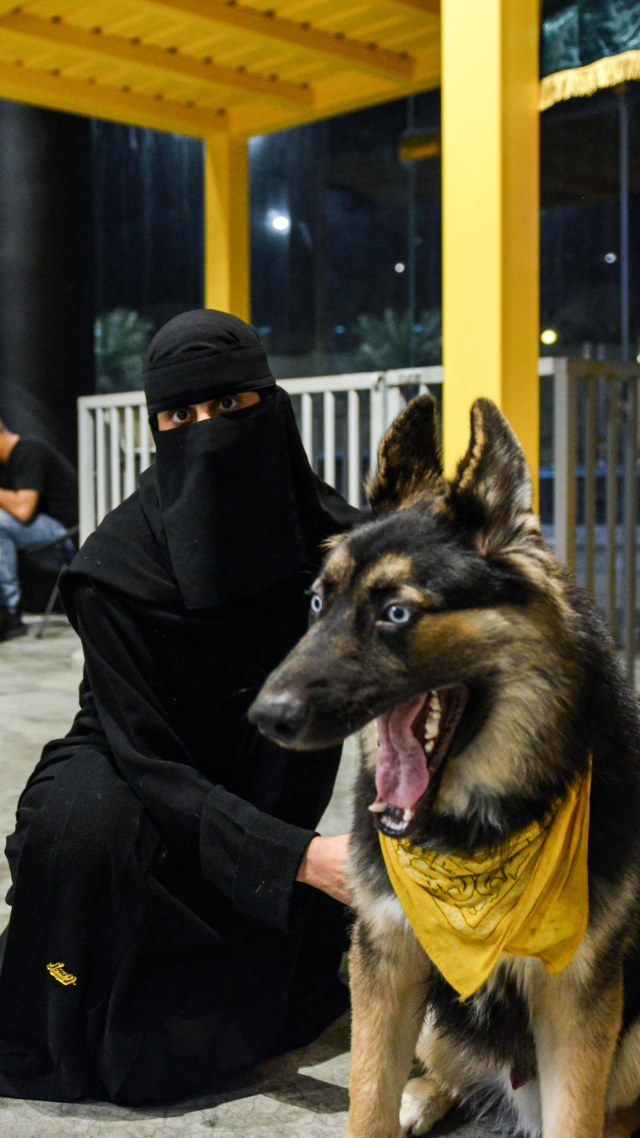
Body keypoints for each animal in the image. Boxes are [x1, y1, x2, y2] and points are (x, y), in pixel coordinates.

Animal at [248, 393, 637, 1138]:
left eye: (397, 613)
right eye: (318, 603)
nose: (264, 717)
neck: (476, 838)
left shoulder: (577, 1002)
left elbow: (578, 1117)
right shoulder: (387, 961)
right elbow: (366, 1099)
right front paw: (388, 1107)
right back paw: (422, 1098)